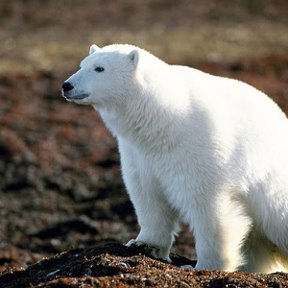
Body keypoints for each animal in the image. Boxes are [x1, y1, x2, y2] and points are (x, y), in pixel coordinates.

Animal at [62, 43, 288, 272]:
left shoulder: (199, 149)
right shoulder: (138, 154)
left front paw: (204, 266)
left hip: (272, 185)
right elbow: (148, 196)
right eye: (82, 65)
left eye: (100, 68)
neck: (165, 122)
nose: (66, 85)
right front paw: (144, 244)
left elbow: (208, 206)